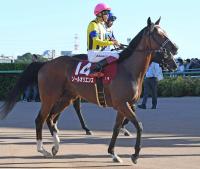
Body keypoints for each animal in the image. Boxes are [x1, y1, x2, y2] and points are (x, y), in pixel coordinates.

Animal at [0, 17, 178, 164]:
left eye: (165, 32)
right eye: (158, 34)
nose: (175, 49)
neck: (128, 69)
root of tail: (45, 63)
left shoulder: (123, 105)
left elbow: (116, 128)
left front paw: (113, 153)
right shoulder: (122, 104)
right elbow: (139, 125)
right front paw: (134, 155)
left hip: (66, 97)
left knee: (51, 118)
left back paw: (56, 146)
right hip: (49, 97)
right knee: (40, 119)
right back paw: (42, 149)